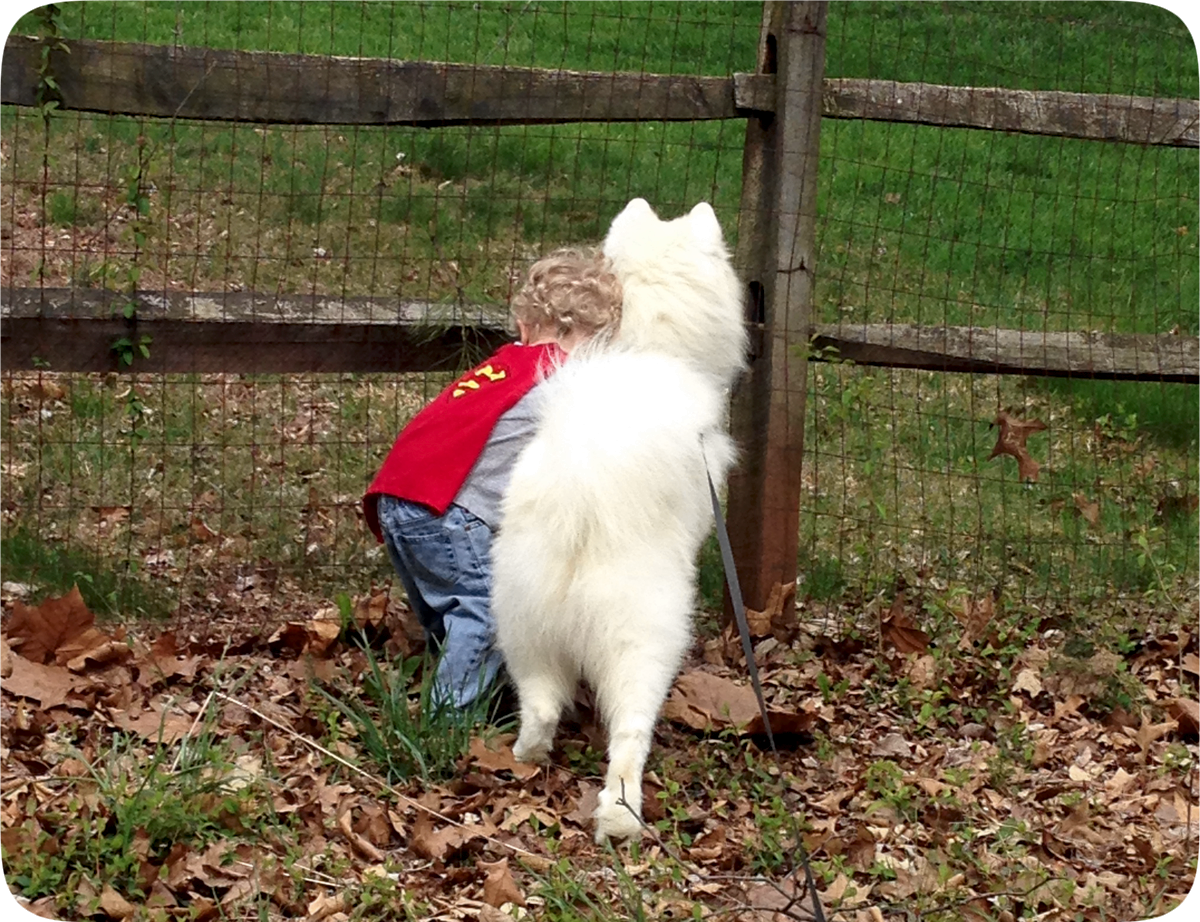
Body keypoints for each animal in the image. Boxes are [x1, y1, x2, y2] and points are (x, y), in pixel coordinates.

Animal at [489, 196, 739, 845]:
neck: (650, 344)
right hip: (646, 637)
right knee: (628, 735)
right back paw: (621, 815)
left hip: (521, 626)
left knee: (540, 707)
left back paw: (526, 756)